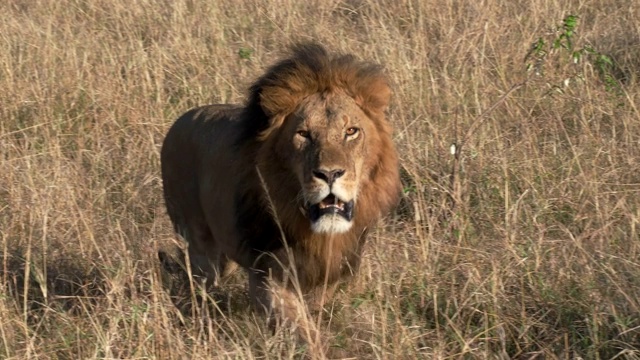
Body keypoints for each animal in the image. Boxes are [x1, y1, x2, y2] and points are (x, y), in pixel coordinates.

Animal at [160, 43, 400, 330]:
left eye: (351, 131)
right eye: (303, 134)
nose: (330, 174)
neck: (316, 232)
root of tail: (180, 120)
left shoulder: (329, 272)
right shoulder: (268, 274)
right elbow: (302, 330)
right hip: (200, 245)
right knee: (198, 281)